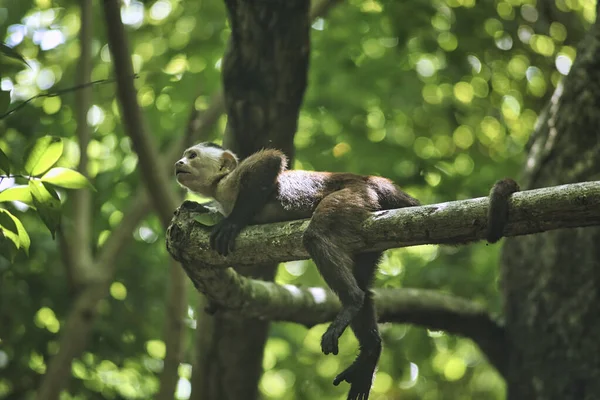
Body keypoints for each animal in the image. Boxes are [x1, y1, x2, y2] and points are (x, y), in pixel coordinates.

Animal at [175, 143, 520, 400]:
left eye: (192, 155)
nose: (178, 162)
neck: (221, 191)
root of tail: (375, 181)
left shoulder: (235, 180)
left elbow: (270, 161)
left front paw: (234, 221)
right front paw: (196, 208)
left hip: (356, 195)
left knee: (319, 238)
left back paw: (351, 301)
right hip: (369, 233)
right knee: (365, 287)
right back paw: (370, 351)